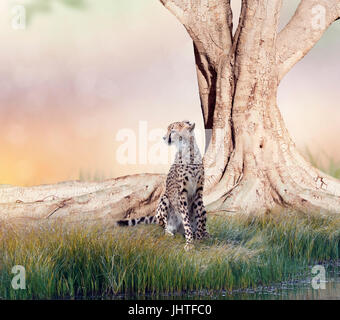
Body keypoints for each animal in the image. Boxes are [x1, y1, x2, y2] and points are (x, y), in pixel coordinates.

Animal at [115, 120, 209, 250]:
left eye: (173, 131)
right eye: (168, 130)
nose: (164, 137)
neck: (188, 150)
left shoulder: (198, 192)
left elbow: (199, 217)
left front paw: (199, 238)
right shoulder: (182, 193)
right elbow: (186, 220)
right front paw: (190, 243)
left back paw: (204, 234)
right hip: (164, 200)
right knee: (165, 227)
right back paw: (170, 233)